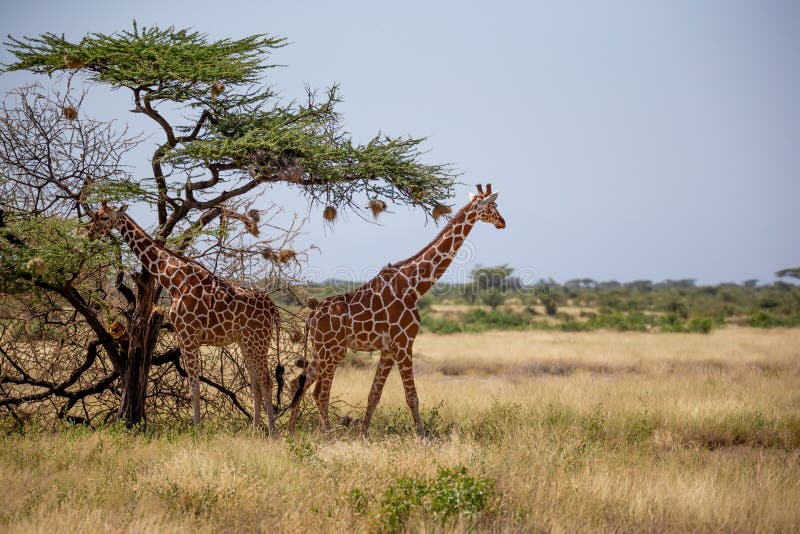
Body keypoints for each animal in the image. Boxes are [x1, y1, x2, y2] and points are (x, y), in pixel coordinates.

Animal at [88, 204, 282, 433]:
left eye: (104, 217)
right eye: (95, 216)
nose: (90, 234)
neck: (173, 279)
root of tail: (272, 307)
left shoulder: (189, 335)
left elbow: (194, 385)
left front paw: (197, 429)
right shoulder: (182, 336)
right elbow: (193, 383)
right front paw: (198, 426)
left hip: (259, 340)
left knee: (267, 381)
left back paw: (272, 432)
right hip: (246, 342)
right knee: (255, 383)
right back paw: (254, 430)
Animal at [287, 184, 505, 437]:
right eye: (493, 206)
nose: (502, 222)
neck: (414, 286)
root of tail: (310, 318)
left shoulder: (388, 349)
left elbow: (374, 394)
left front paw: (364, 435)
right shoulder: (404, 344)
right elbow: (412, 396)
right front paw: (422, 437)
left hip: (320, 350)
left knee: (298, 383)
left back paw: (290, 432)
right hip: (333, 350)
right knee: (319, 392)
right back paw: (329, 436)